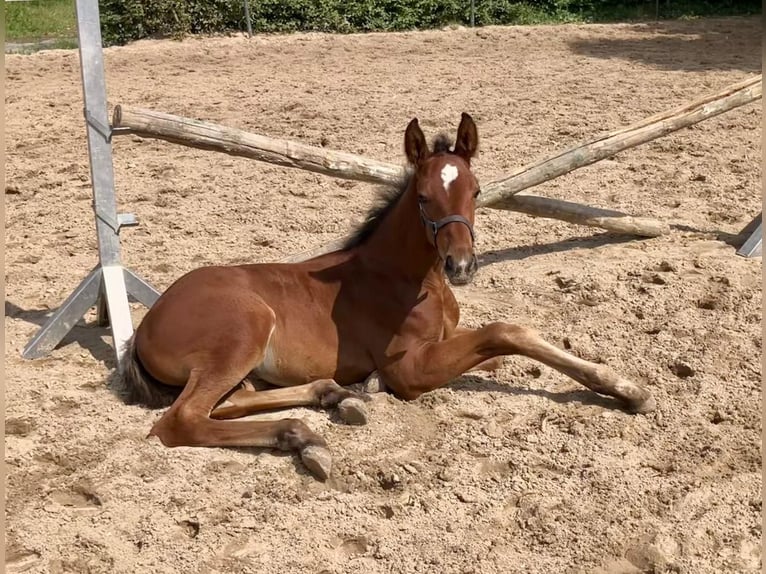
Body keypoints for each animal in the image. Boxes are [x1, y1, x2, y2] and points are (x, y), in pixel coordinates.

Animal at [119, 113, 655, 480]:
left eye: (476, 191)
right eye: (422, 197)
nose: (462, 266)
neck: (412, 279)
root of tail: (145, 325)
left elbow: (500, 346)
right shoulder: (409, 369)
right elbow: (506, 331)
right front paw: (626, 387)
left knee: (232, 401)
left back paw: (334, 399)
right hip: (244, 330)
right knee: (183, 420)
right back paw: (303, 435)